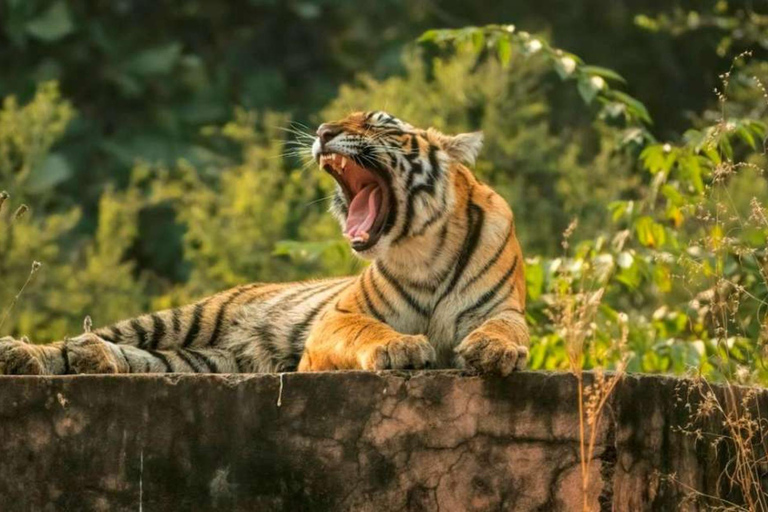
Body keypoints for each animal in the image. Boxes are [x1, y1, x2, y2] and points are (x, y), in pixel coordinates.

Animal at [0, 111, 529, 376]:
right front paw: (401, 347)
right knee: (90, 339)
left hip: (205, 358)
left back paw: (95, 358)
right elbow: (368, 331)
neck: (424, 250)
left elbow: (507, 330)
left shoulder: (501, 308)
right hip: (183, 318)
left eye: (380, 124)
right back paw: (23, 354)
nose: (323, 132)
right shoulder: (338, 319)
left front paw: (493, 352)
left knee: (137, 359)